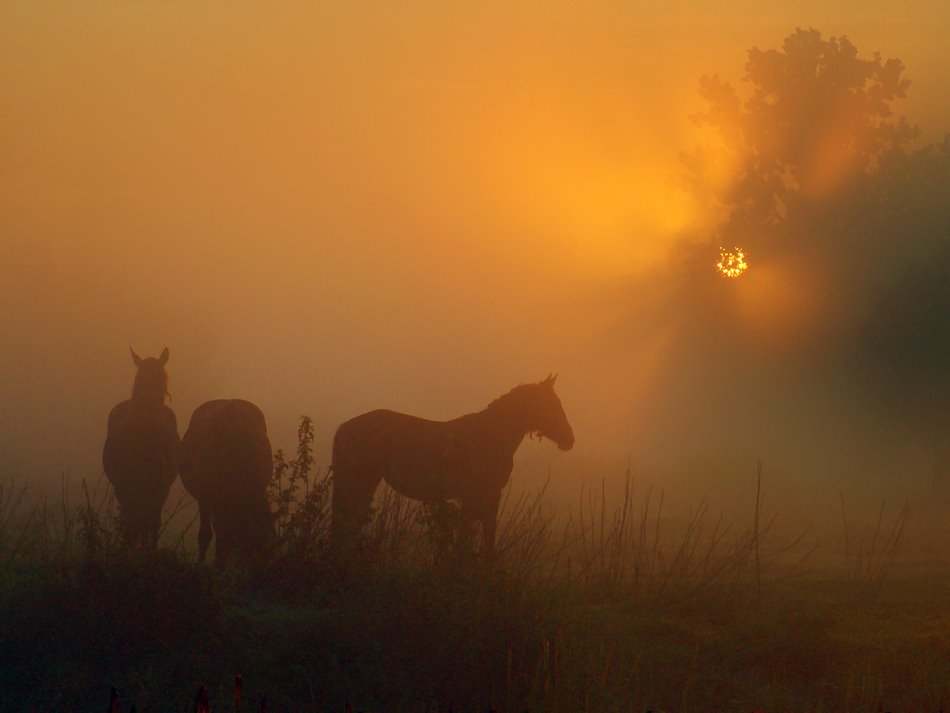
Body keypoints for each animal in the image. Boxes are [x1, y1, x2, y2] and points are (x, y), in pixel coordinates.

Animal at [330, 372, 576, 556]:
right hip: (359, 483)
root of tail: (345, 427)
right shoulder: (482, 496)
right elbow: (478, 540)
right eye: (551, 404)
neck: (491, 436)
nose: (569, 439)